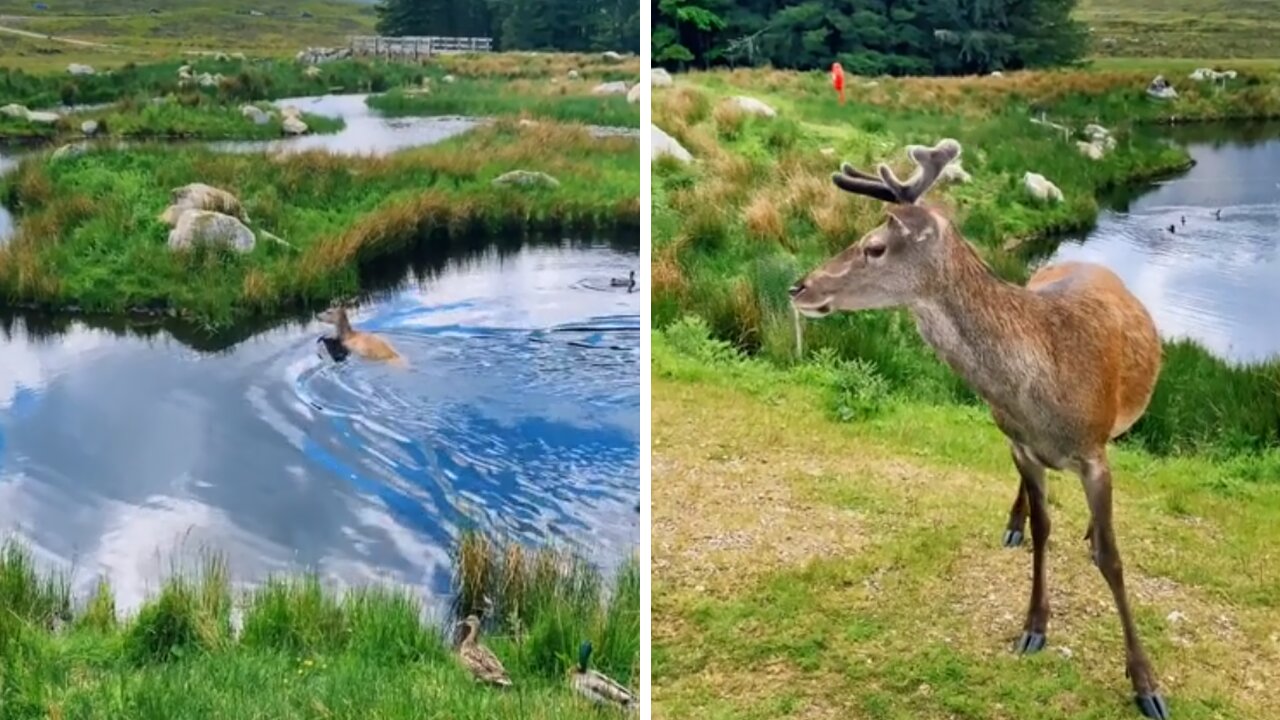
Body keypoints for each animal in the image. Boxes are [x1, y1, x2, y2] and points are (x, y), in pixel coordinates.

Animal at [793, 137, 1172, 712]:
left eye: (874, 246)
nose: (798, 286)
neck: (1042, 387)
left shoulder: (1092, 452)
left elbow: (1112, 557)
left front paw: (1146, 683)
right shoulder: (1020, 445)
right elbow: (1043, 532)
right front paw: (1034, 626)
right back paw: (1014, 522)